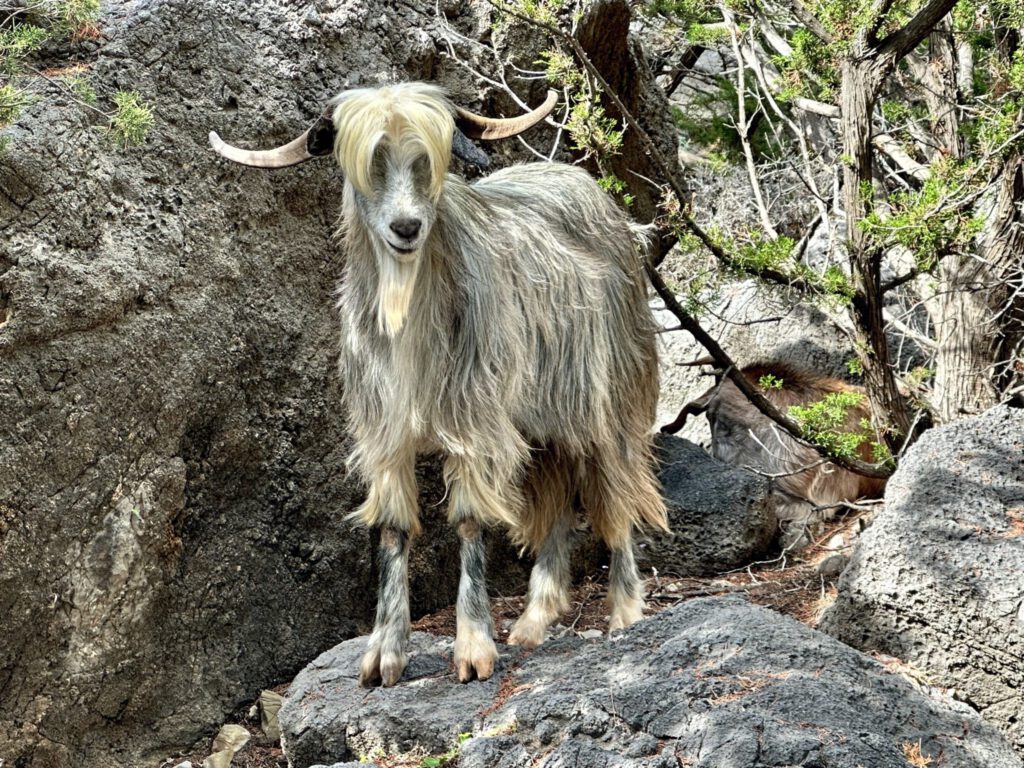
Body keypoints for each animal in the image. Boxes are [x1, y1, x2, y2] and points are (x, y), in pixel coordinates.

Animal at [210, 83, 668, 687]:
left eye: (431, 156)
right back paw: (533, 621)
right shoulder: (385, 435)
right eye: (368, 162)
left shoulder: (475, 423)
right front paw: (384, 654)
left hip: (609, 395)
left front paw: (472, 648)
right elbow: (393, 529)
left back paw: (625, 612)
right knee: (557, 496)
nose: (406, 228)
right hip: (541, 422)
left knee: (617, 493)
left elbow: (470, 521)